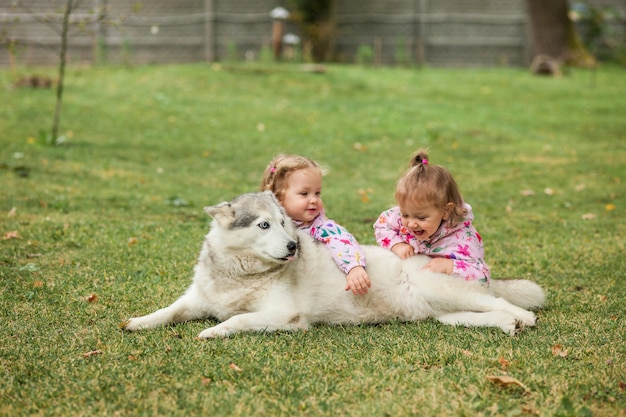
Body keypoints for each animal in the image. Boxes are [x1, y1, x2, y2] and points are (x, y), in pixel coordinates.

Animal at [124, 190, 544, 336]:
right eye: (264, 225)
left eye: (285, 223)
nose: (294, 245)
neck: (240, 275)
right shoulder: (196, 300)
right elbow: (168, 311)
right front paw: (139, 322)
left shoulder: (285, 316)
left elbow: (237, 320)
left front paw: (213, 331)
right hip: (442, 312)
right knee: (482, 314)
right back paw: (507, 325)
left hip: (444, 288)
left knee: (503, 303)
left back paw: (523, 318)